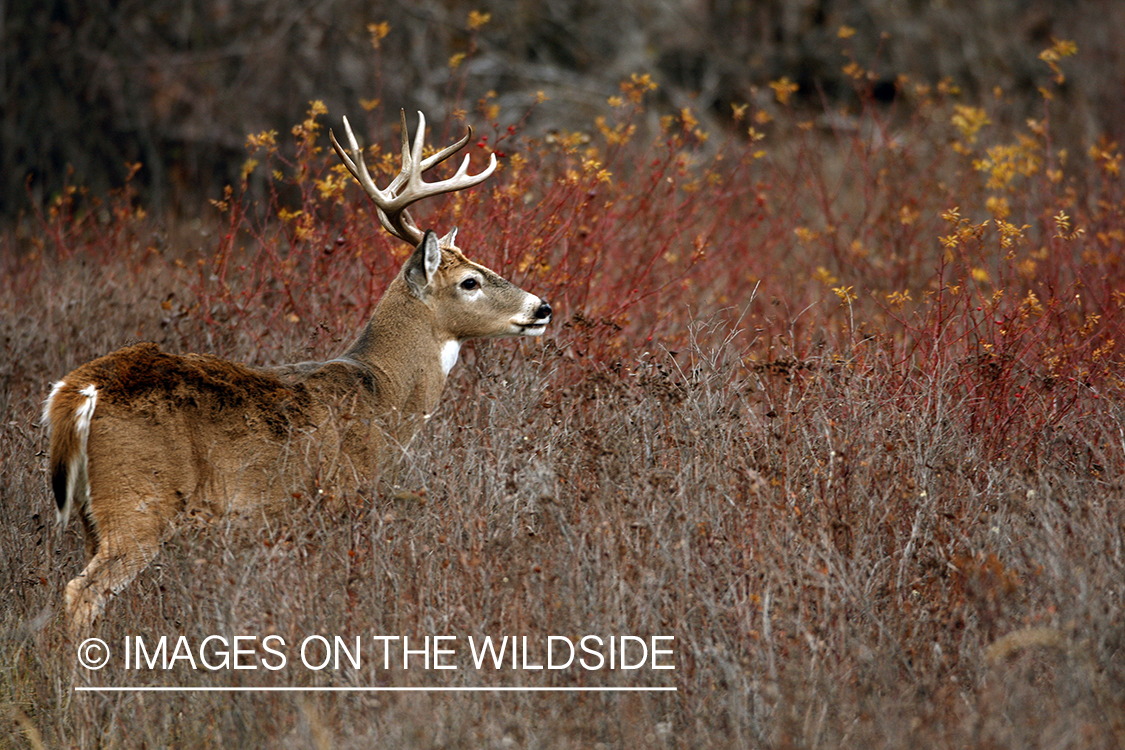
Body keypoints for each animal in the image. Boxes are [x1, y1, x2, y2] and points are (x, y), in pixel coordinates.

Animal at [45, 111, 553, 638]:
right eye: (470, 282)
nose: (543, 308)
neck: (383, 394)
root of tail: (76, 393)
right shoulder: (340, 496)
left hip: (90, 513)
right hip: (138, 502)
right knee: (81, 592)